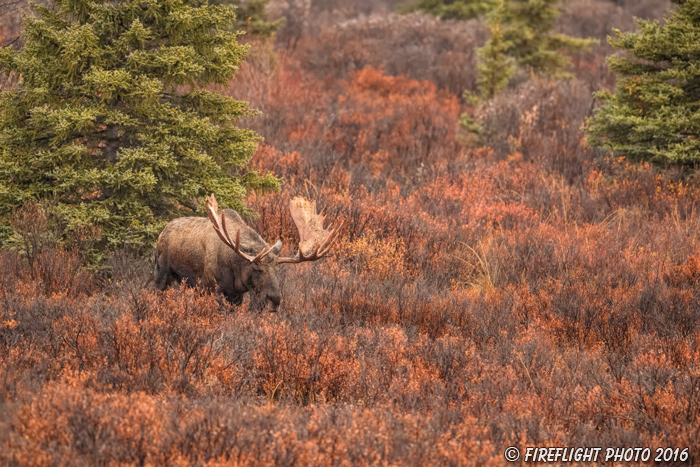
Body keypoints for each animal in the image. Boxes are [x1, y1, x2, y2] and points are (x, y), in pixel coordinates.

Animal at [154, 196, 344, 312]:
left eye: (277, 270)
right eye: (257, 268)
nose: (275, 300)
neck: (234, 270)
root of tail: (163, 230)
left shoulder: (235, 296)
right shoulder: (213, 288)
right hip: (162, 274)